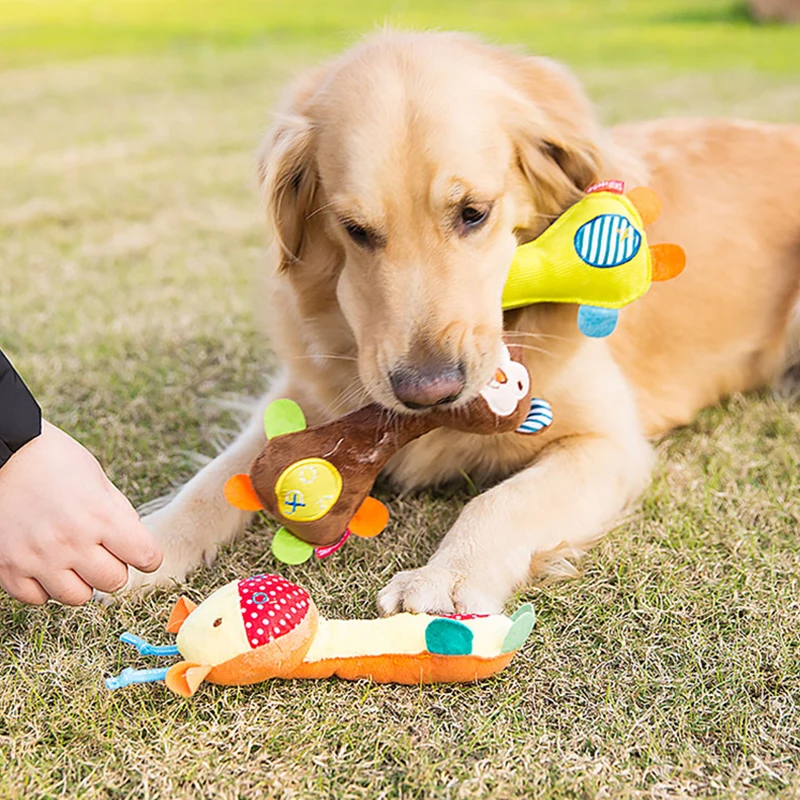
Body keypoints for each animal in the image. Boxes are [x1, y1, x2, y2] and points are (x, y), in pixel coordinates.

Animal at [117, 31, 800, 612]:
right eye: (355, 229)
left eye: (474, 212)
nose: (429, 392)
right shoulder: (306, 389)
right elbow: (218, 475)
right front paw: (147, 546)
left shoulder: (606, 444)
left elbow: (504, 499)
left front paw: (447, 576)